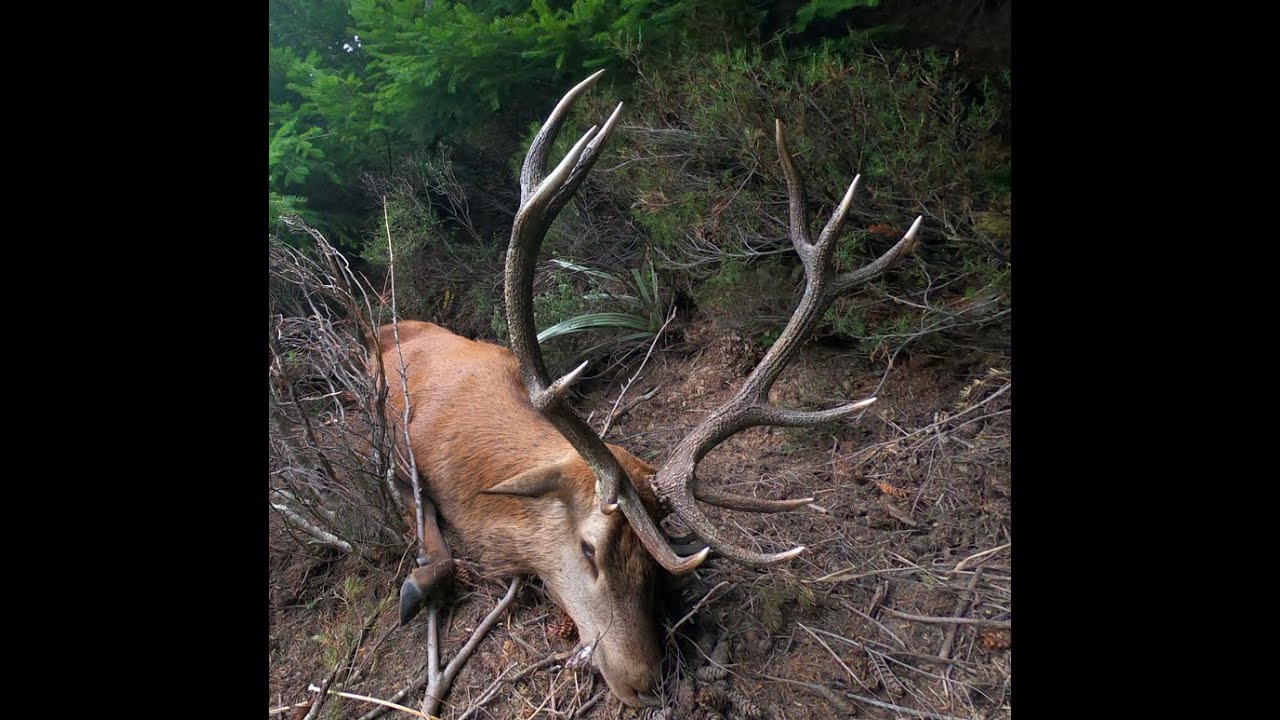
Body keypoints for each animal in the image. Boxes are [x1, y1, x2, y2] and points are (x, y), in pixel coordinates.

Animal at [377, 70, 922, 709]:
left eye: (656, 568)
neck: (469, 466)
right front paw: (416, 584)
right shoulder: (400, 456)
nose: (646, 681)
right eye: (588, 549)